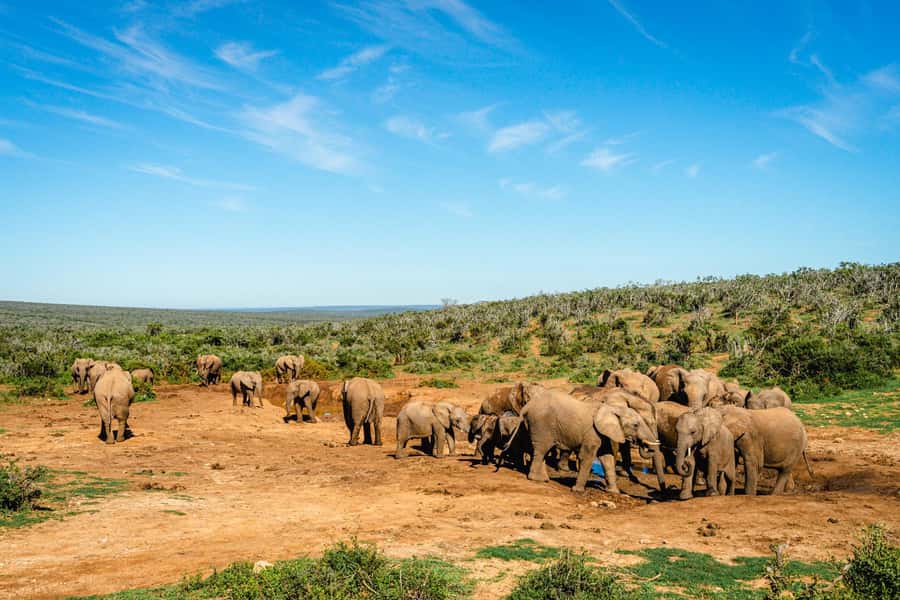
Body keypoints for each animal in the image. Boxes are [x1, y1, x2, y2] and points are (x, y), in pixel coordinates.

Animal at [518, 383, 659, 493]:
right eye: (636, 425)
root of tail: (527, 407)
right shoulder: (592, 432)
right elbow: (587, 456)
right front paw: (577, 490)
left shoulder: (604, 433)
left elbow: (607, 457)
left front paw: (613, 492)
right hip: (541, 425)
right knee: (541, 449)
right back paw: (537, 478)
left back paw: (544, 478)